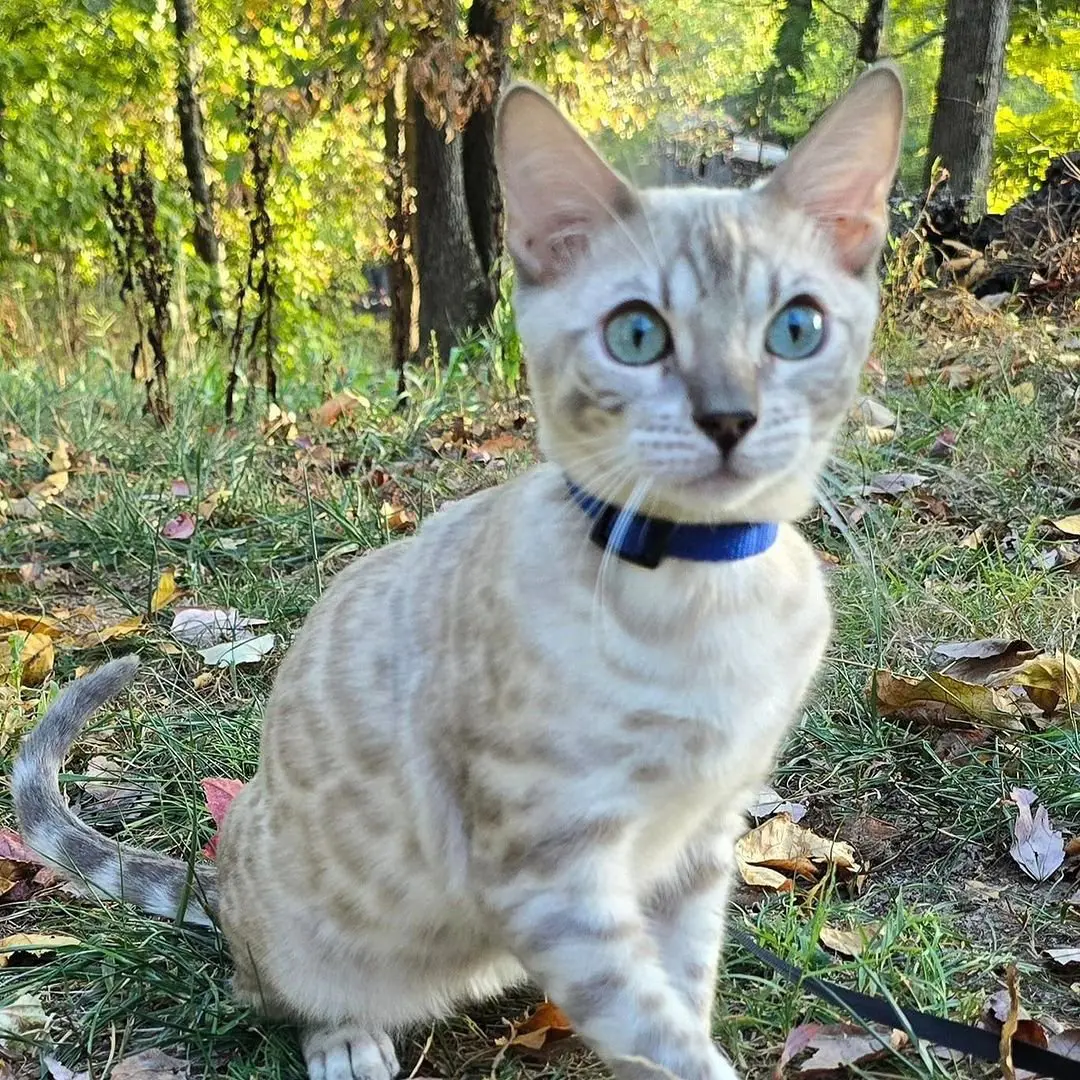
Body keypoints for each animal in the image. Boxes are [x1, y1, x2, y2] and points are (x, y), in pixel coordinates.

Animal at [14, 63, 902, 1080]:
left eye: (796, 329)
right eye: (638, 336)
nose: (729, 417)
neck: (707, 591)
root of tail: (224, 884)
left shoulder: (696, 844)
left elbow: (682, 994)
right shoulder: (551, 872)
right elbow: (660, 1032)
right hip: (301, 922)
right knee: (267, 990)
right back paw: (346, 1036)